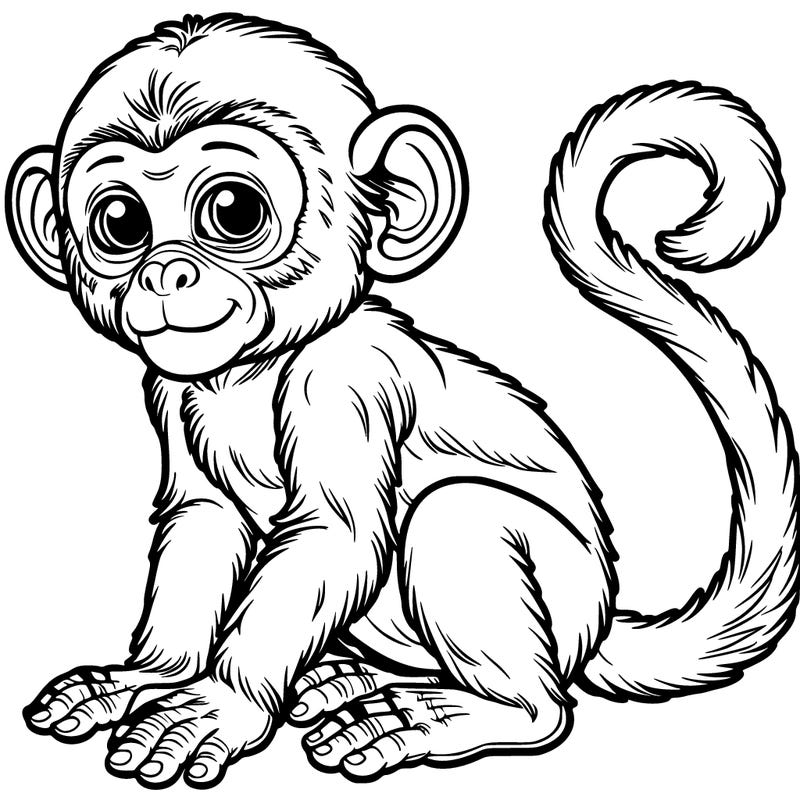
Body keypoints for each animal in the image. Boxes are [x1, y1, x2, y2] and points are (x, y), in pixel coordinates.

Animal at [6, 12, 798, 789]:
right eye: (122, 224)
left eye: (233, 211)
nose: (165, 274)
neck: (248, 374)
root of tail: (599, 625)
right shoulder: (169, 390)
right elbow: (203, 521)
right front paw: (152, 677)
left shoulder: (345, 380)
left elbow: (339, 535)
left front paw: (222, 704)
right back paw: (339, 681)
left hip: (564, 599)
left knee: (462, 520)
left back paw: (478, 712)